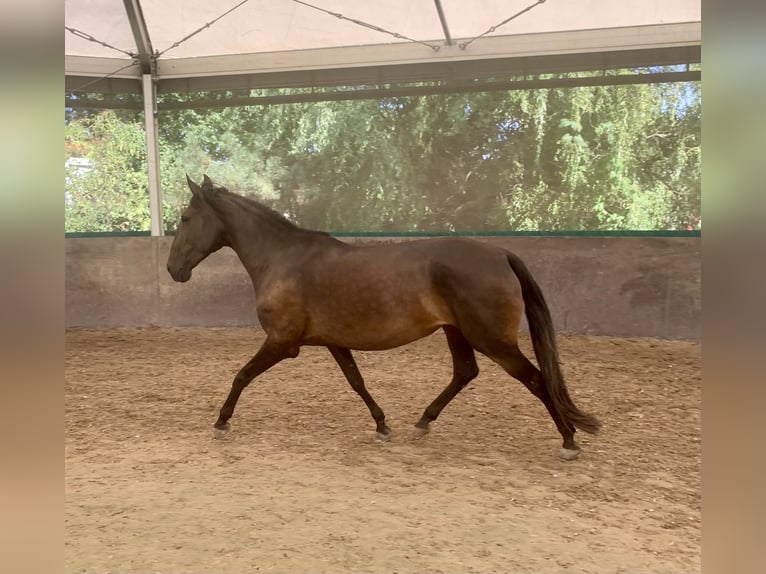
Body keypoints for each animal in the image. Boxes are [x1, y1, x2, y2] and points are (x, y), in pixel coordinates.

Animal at [166, 178, 600, 462]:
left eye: (185, 217)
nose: (173, 270)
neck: (283, 259)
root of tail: (501, 254)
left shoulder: (282, 342)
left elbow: (241, 375)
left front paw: (221, 422)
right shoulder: (333, 341)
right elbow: (357, 382)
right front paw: (382, 426)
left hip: (493, 340)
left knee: (536, 379)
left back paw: (569, 441)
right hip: (457, 332)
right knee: (465, 372)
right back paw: (423, 422)